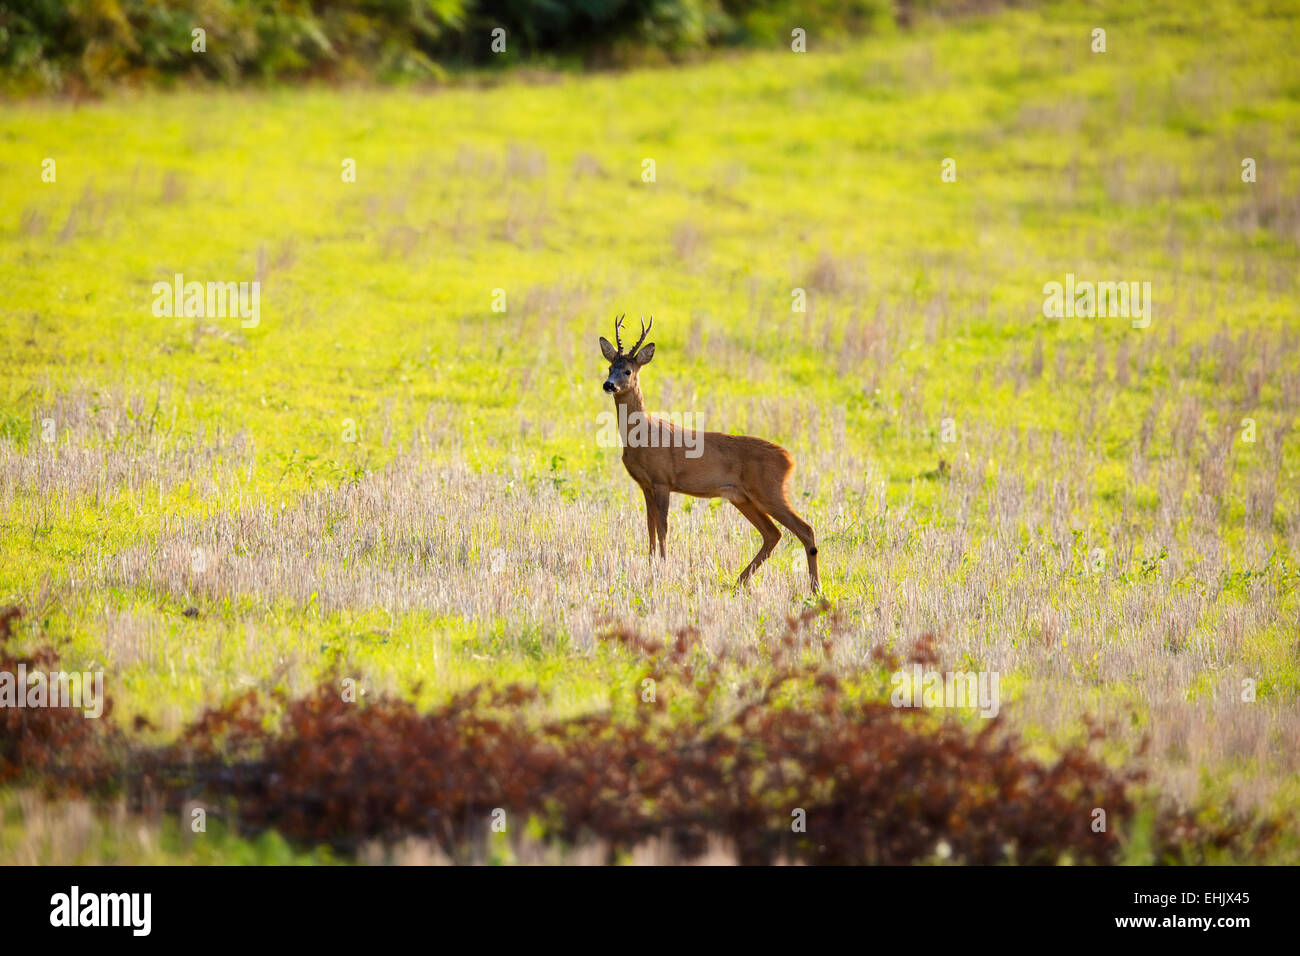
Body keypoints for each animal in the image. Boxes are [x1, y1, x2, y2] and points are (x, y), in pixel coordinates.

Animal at [598, 314, 821, 590]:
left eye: (628, 370)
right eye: (610, 367)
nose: (609, 385)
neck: (642, 436)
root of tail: (789, 459)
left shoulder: (663, 480)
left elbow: (663, 527)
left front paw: (663, 568)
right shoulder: (645, 485)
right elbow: (649, 527)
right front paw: (650, 566)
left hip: (769, 490)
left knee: (805, 529)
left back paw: (814, 589)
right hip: (743, 497)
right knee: (773, 533)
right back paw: (739, 581)